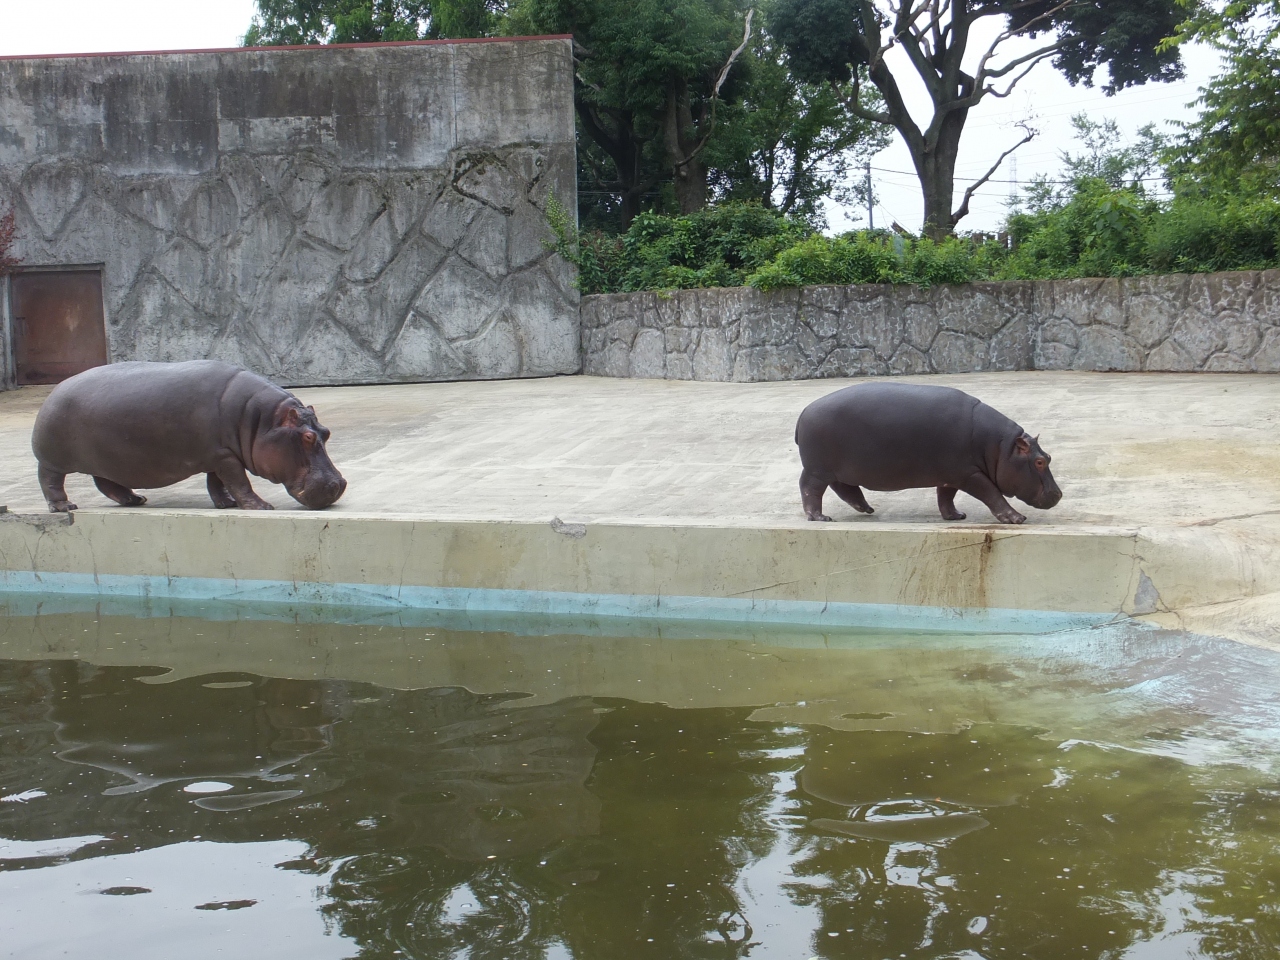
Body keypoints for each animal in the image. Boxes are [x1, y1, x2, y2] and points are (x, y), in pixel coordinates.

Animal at [32, 358, 348, 512]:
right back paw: (63, 507)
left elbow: (218, 482)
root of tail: (54, 391)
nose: (340, 484)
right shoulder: (225, 456)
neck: (262, 420)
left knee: (106, 482)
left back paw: (135, 500)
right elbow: (239, 481)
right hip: (53, 459)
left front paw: (226, 504)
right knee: (50, 480)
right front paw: (261, 506)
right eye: (307, 438)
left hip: (109, 460)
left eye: (326, 432)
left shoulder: (220, 453)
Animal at [798, 384, 1059, 527]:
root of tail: (803, 412)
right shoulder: (969, 474)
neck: (1000, 448)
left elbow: (945, 496)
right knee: (810, 489)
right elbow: (992, 494)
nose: (1058, 494)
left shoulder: (951, 475)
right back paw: (821, 518)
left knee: (843, 488)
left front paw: (956, 516)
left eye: (1048, 457)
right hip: (817, 470)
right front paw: (1017, 519)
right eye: (1039, 462)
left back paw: (866, 509)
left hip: (836, 470)